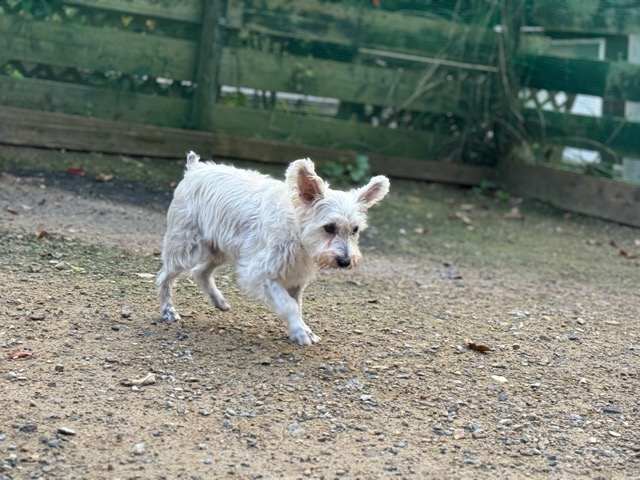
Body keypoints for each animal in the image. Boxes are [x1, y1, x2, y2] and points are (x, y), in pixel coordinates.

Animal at [156, 152, 389, 345]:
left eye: (355, 230)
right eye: (329, 227)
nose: (345, 261)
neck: (297, 232)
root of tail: (195, 169)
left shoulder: (295, 279)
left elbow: (297, 306)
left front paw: (303, 329)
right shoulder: (260, 274)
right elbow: (289, 305)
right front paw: (300, 332)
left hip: (219, 249)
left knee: (200, 272)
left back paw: (220, 302)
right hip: (185, 247)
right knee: (164, 276)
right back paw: (168, 310)